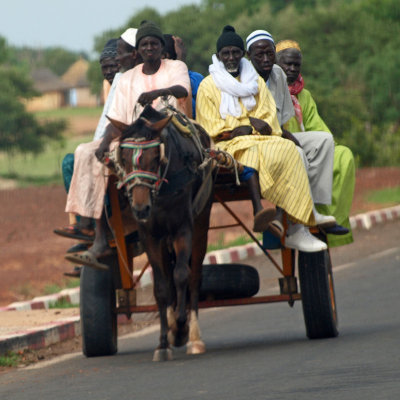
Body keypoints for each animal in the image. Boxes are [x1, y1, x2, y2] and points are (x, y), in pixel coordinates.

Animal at [105, 104, 212, 360]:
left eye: (155, 158)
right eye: (124, 159)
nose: (140, 208)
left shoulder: (183, 228)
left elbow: (182, 275)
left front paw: (181, 328)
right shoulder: (150, 236)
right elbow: (162, 288)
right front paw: (164, 341)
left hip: (201, 223)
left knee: (194, 277)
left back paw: (193, 336)